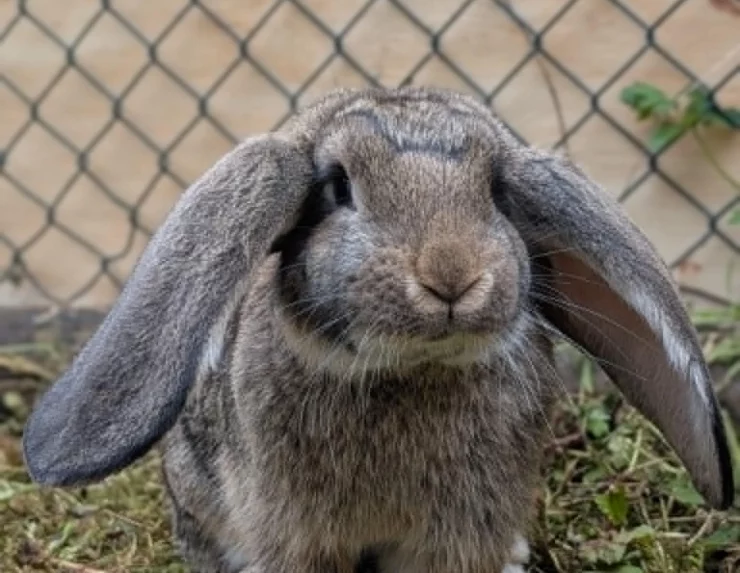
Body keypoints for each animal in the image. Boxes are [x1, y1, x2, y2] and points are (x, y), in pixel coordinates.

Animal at [22, 86, 733, 573]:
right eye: (339, 188)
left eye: (498, 194)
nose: (451, 274)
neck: (410, 368)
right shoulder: (296, 532)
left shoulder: (460, 532)